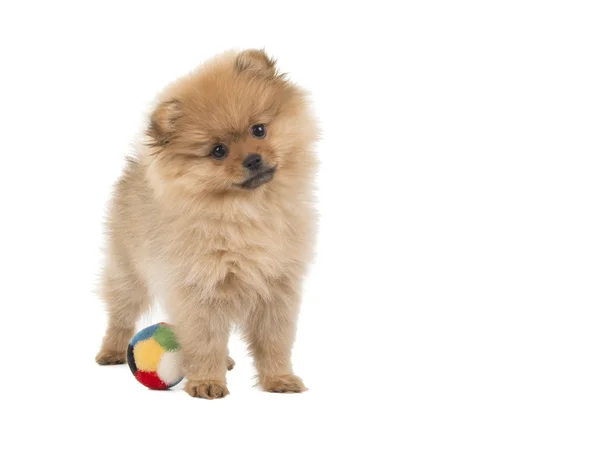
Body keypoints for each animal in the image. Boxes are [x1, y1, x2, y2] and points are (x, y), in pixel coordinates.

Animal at [95, 50, 318, 400]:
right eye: (218, 151)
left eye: (258, 130)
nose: (253, 159)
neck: (247, 211)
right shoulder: (200, 287)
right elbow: (205, 340)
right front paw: (207, 382)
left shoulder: (277, 286)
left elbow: (274, 341)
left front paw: (279, 378)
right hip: (126, 269)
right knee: (121, 311)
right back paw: (112, 350)